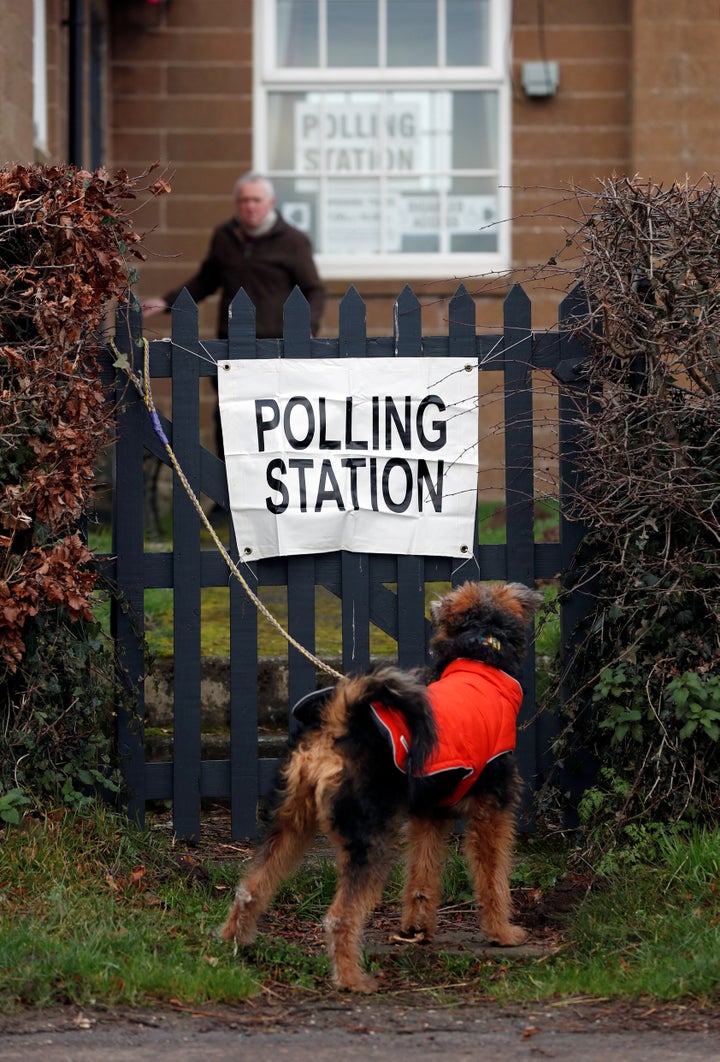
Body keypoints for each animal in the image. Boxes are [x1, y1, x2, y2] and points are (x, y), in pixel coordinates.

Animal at [217, 577, 543, 989]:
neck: (480, 658)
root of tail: (340, 722)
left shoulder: (427, 813)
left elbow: (422, 876)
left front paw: (416, 929)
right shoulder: (491, 810)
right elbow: (493, 877)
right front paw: (502, 932)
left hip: (291, 822)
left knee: (251, 888)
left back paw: (233, 945)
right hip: (369, 838)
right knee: (339, 917)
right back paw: (352, 980)